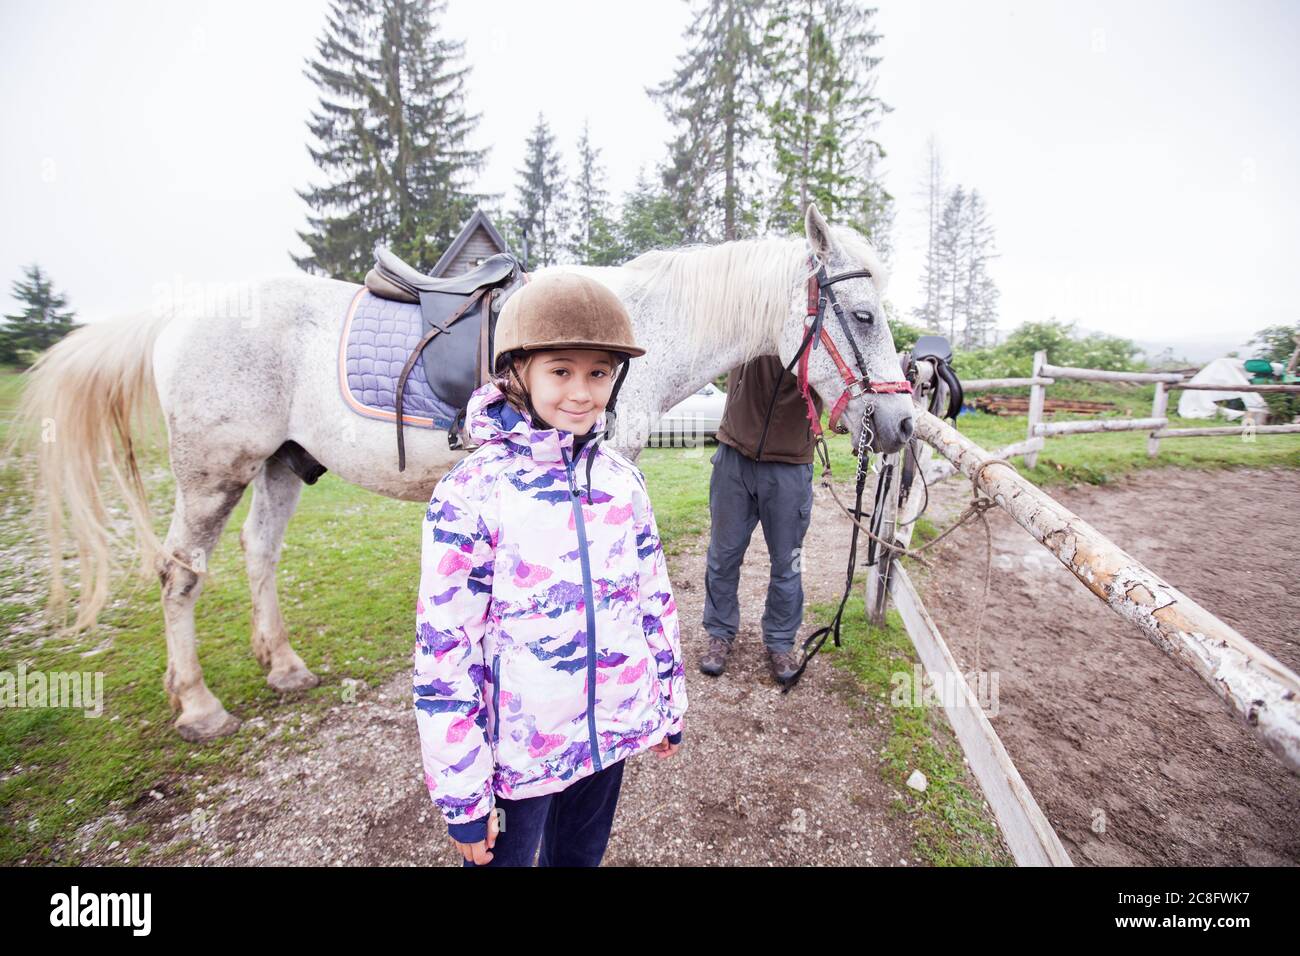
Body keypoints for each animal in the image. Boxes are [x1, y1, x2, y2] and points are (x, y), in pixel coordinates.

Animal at [15, 204, 909, 738]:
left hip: (279, 467)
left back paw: (284, 667)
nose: (900, 424)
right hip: (213, 473)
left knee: (259, 554)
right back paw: (199, 704)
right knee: (180, 574)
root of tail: (181, 315)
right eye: (864, 315)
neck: (634, 332)